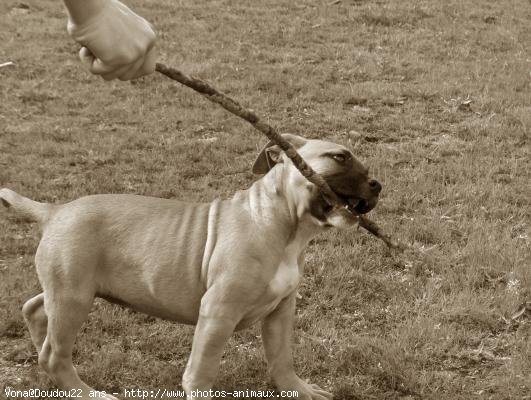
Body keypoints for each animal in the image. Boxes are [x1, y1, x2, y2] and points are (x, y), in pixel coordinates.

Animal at [1, 133, 382, 398]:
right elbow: (201, 372)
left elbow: (281, 358)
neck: (282, 224)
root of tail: (54, 211)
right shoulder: (218, 312)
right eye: (340, 157)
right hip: (74, 298)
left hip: (70, 290)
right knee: (56, 354)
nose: (378, 184)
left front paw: (298, 390)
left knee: (36, 311)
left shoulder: (280, 311)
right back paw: (87, 393)